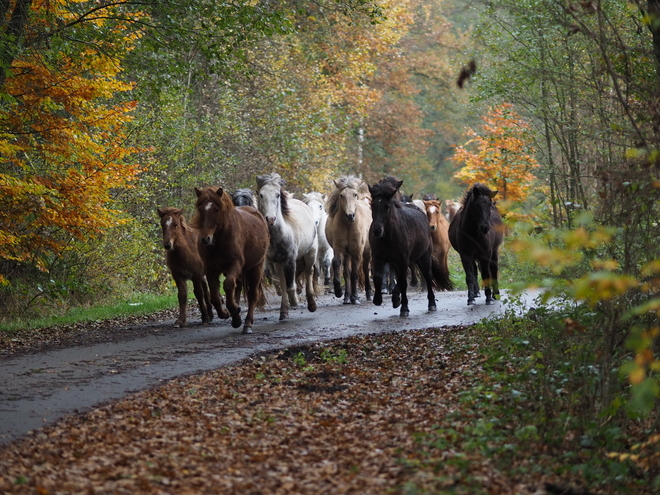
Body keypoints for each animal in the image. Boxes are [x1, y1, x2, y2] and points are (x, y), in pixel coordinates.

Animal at [192, 188, 270, 336]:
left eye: (217, 210)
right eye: (200, 208)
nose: (205, 239)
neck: (220, 240)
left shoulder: (235, 265)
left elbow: (228, 285)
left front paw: (234, 310)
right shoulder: (211, 270)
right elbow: (215, 297)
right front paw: (227, 313)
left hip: (256, 267)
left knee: (252, 295)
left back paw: (247, 324)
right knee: (237, 289)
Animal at [256, 174, 318, 322]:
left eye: (277, 195)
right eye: (261, 194)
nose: (270, 219)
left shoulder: (290, 260)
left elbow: (291, 286)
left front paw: (295, 301)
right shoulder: (276, 262)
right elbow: (283, 284)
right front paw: (284, 311)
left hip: (311, 253)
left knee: (309, 272)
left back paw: (312, 304)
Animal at [324, 174, 372, 306]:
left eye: (355, 194)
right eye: (341, 195)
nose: (350, 215)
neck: (349, 225)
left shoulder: (357, 251)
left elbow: (354, 274)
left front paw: (355, 298)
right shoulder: (339, 248)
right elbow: (336, 264)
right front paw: (338, 291)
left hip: (366, 252)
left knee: (365, 269)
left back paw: (369, 294)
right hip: (347, 254)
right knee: (346, 272)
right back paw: (347, 297)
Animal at [366, 177, 454, 318]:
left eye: (387, 206)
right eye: (372, 205)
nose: (377, 230)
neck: (389, 236)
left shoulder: (402, 260)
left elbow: (403, 282)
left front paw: (404, 308)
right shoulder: (378, 258)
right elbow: (379, 277)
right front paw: (378, 299)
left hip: (424, 256)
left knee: (427, 275)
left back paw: (432, 304)